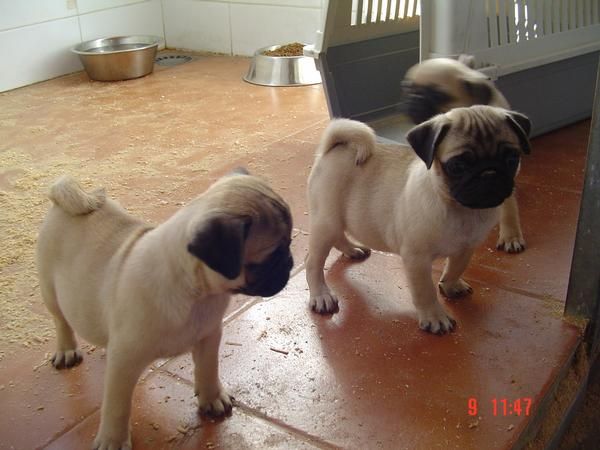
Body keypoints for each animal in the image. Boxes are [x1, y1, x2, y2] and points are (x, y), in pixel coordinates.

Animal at [35, 170, 292, 450]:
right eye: (270, 257)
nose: (289, 263)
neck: (197, 293)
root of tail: (66, 203)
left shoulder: (209, 336)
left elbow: (208, 369)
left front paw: (212, 398)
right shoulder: (125, 358)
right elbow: (116, 406)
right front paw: (112, 440)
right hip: (51, 292)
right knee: (61, 321)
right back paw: (67, 350)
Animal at [308, 103, 532, 332]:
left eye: (512, 159)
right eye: (457, 166)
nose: (489, 173)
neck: (461, 210)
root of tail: (335, 147)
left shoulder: (466, 247)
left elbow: (456, 268)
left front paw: (450, 285)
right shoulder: (417, 259)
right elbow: (425, 291)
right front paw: (435, 317)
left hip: (334, 222)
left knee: (339, 237)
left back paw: (353, 249)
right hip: (327, 222)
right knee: (313, 263)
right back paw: (321, 295)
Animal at [404, 56, 524, 253]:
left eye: (437, 95)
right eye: (406, 88)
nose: (413, 98)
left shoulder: (506, 177)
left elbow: (509, 207)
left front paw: (511, 235)